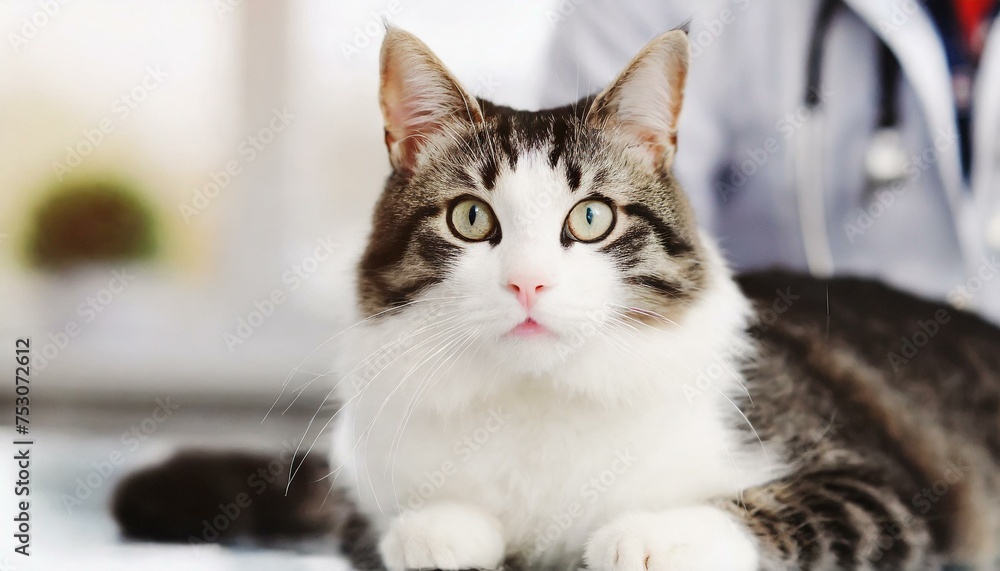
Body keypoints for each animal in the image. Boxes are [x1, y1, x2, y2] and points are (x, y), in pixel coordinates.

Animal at [113, 23, 1000, 571]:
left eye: (593, 217)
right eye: (472, 218)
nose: (528, 281)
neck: (539, 400)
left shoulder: (878, 488)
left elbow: (763, 510)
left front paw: (644, 535)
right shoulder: (368, 492)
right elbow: (391, 523)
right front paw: (443, 529)